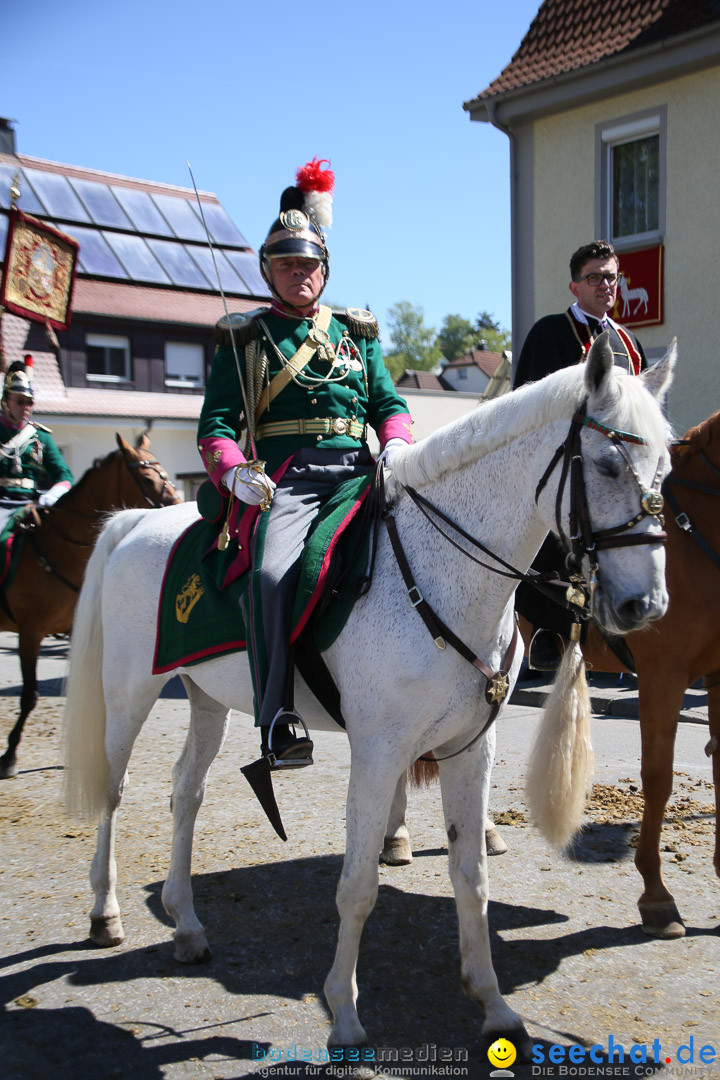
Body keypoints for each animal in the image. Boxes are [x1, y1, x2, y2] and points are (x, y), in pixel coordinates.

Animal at [0, 434, 180, 781]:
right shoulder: (30, 632)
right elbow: (29, 695)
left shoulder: (77, 632)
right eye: (147, 477)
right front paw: (10, 753)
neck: (56, 550)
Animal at [63, 336, 677, 1054]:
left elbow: (472, 877)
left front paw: (493, 1003)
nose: (645, 606)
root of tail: (138, 522)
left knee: (185, 790)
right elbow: (358, 886)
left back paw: (186, 924)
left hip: (205, 697)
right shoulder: (379, 752)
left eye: (665, 468)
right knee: (113, 791)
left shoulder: (471, 748)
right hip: (131, 692)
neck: (442, 572)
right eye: (607, 464)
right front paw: (345, 1013)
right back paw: (105, 913)